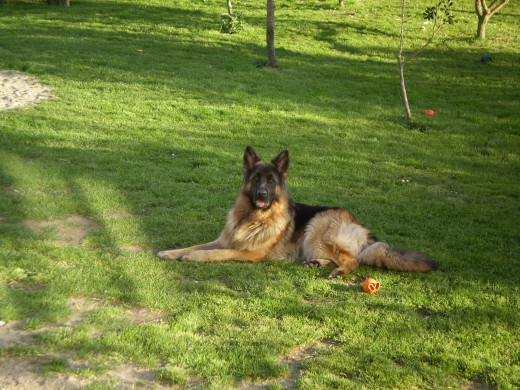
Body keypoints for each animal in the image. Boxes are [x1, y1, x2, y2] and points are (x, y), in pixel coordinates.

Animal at [156, 146, 436, 278]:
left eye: (271, 182)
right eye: (256, 179)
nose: (262, 195)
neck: (254, 217)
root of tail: (364, 230)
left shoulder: (250, 252)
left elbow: (217, 254)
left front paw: (194, 258)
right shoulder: (223, 239)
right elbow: (196, 245)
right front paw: (171, 252)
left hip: (317, 229)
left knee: (352, 260)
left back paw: (337, 272)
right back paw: (315, 263)